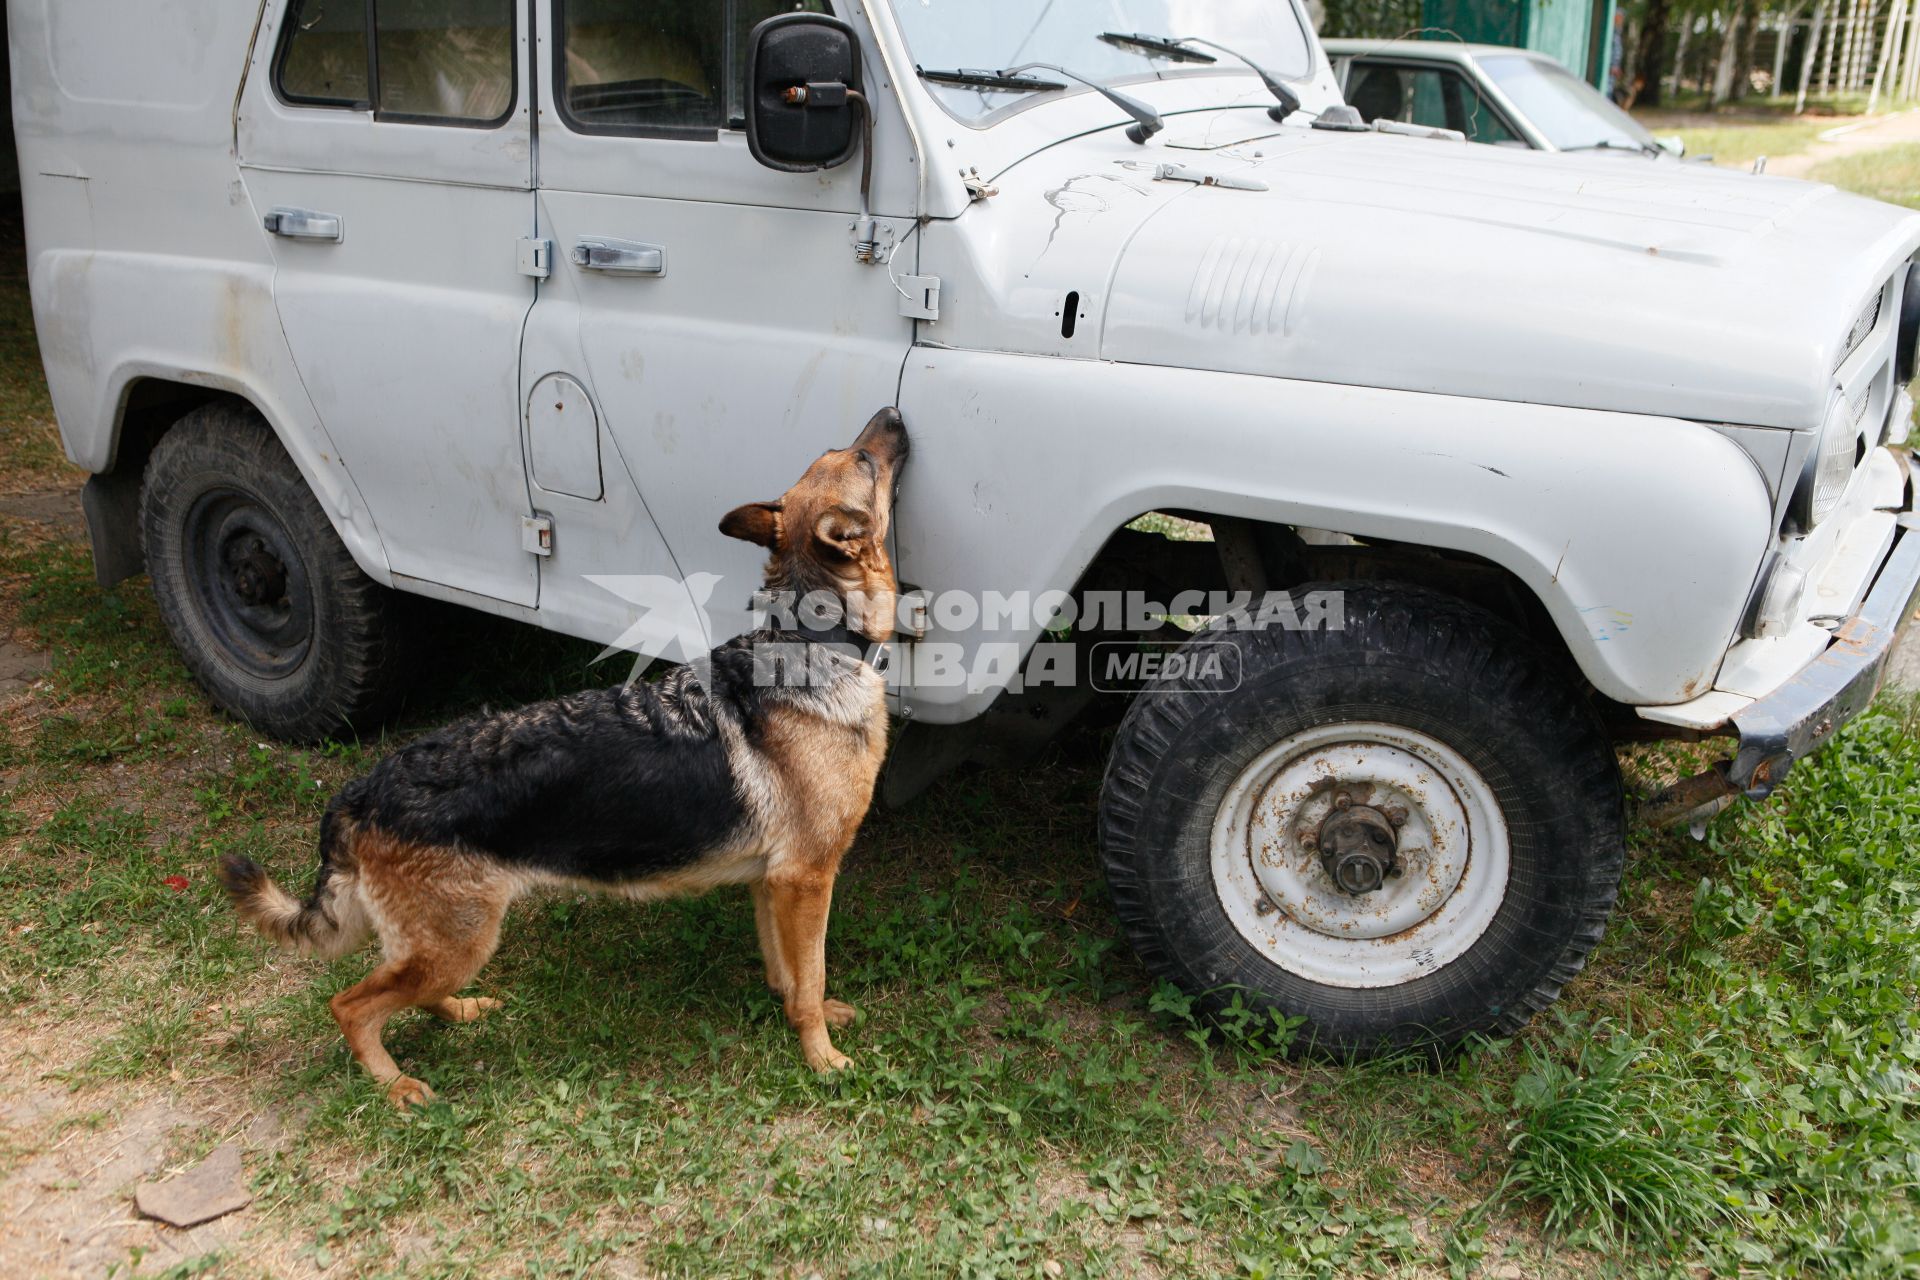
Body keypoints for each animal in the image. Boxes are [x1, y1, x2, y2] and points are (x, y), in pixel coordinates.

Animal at [220, 408, 910, 1105]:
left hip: (445, 945)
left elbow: (787, 973)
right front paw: (821, 1056)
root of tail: (360, 794)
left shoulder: (774, 882)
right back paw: (397, 1086)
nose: (893, 415)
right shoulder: (806, 879)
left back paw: (457, 1012)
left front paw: (800, 1015)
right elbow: (811, 975)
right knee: (351, 1005)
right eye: (863, 461)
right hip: (459, 942)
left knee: (404, 988)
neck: (813, 639)